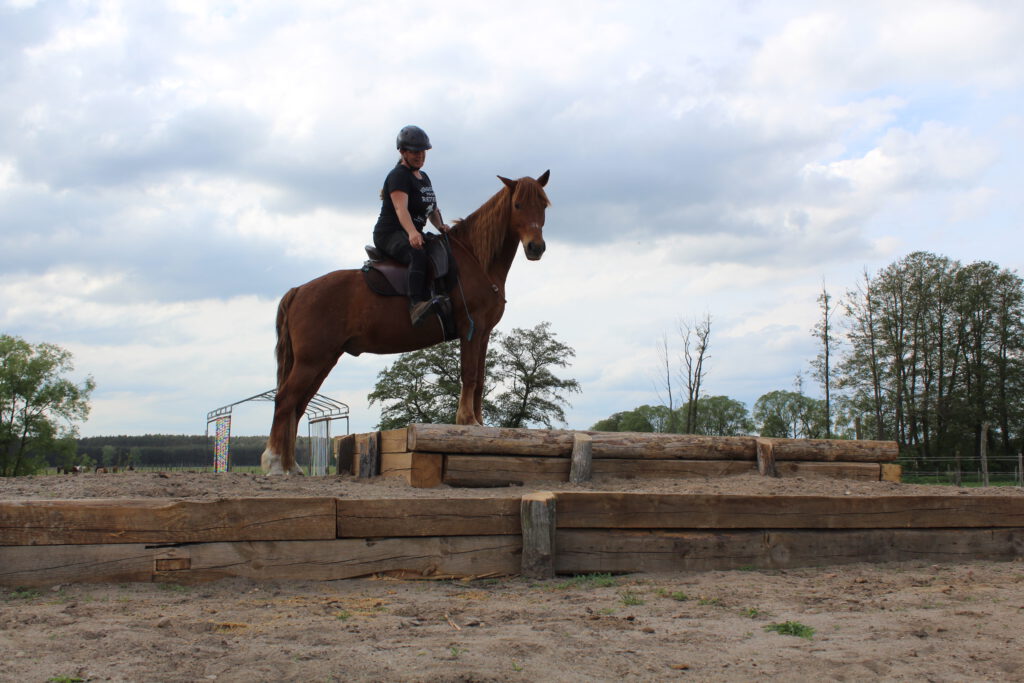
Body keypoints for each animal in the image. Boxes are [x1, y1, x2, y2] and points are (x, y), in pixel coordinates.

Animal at [264, 169, 552, 475]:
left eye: (543, 205)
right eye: (518, 205)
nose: (536, 247)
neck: (475, 259)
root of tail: (299, 290)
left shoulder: (483, 332)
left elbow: (481, 378)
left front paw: (479, 423)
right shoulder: (470, 330)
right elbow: (470, 374)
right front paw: (467, 421)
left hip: (322, 360)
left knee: (297, 405)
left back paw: (291, 466)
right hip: (312, 360)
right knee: (285, 401)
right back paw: (275, 464)